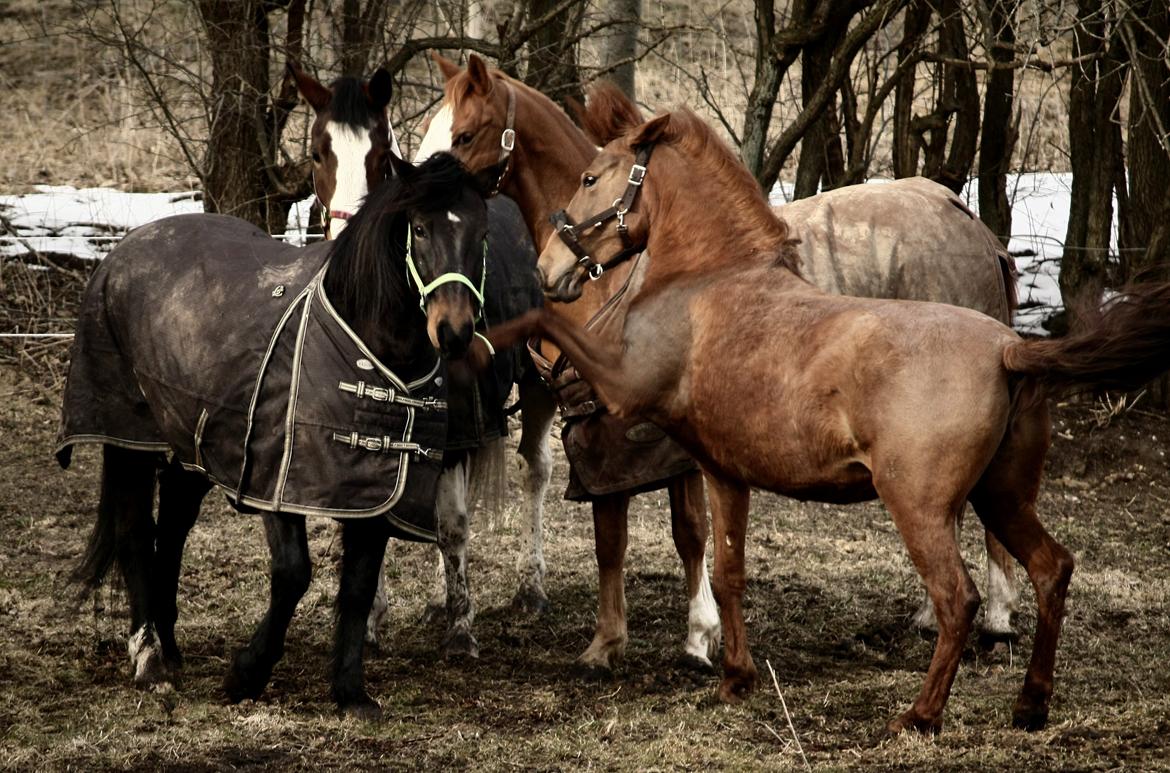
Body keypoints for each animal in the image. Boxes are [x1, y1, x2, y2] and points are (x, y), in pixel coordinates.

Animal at [61, 152, 519, 715]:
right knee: (132, 529)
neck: (361, 343)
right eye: (419, 228)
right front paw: (246, 675)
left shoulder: (373, 491)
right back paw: (149, 659)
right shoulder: (276, 484)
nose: (453, 332)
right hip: (128, 439)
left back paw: (168, 647)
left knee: (172, 526)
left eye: (481, 233)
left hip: (194, 445)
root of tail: (124, 249)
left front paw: (350, 691)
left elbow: (359, 584)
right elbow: (294, 574)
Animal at [475, 108, 1170, 729]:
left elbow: (549, 322)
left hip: (921, 506)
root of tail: (1008, 347)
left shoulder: (624, 389)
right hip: (1002, 496)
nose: (548, 267)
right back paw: (1030, 705)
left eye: (592, 177)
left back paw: (920, 716)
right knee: (1051, 570)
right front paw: (735, 679)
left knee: (958, 599)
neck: (711, 280)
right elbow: (728, 572)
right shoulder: (723, 471)